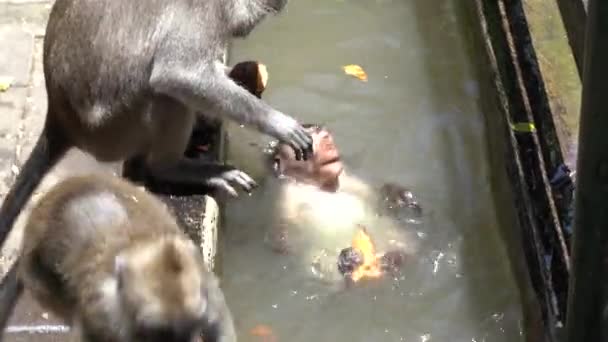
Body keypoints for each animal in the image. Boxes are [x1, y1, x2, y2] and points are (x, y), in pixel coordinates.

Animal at [0, 0, 314, 254]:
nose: (246, 30)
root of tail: (60, 120)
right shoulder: (202, 10)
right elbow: (178, 75)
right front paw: (281, 124)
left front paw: (241, 76)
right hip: (113, 127)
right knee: (165, 96)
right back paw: (173, 168)